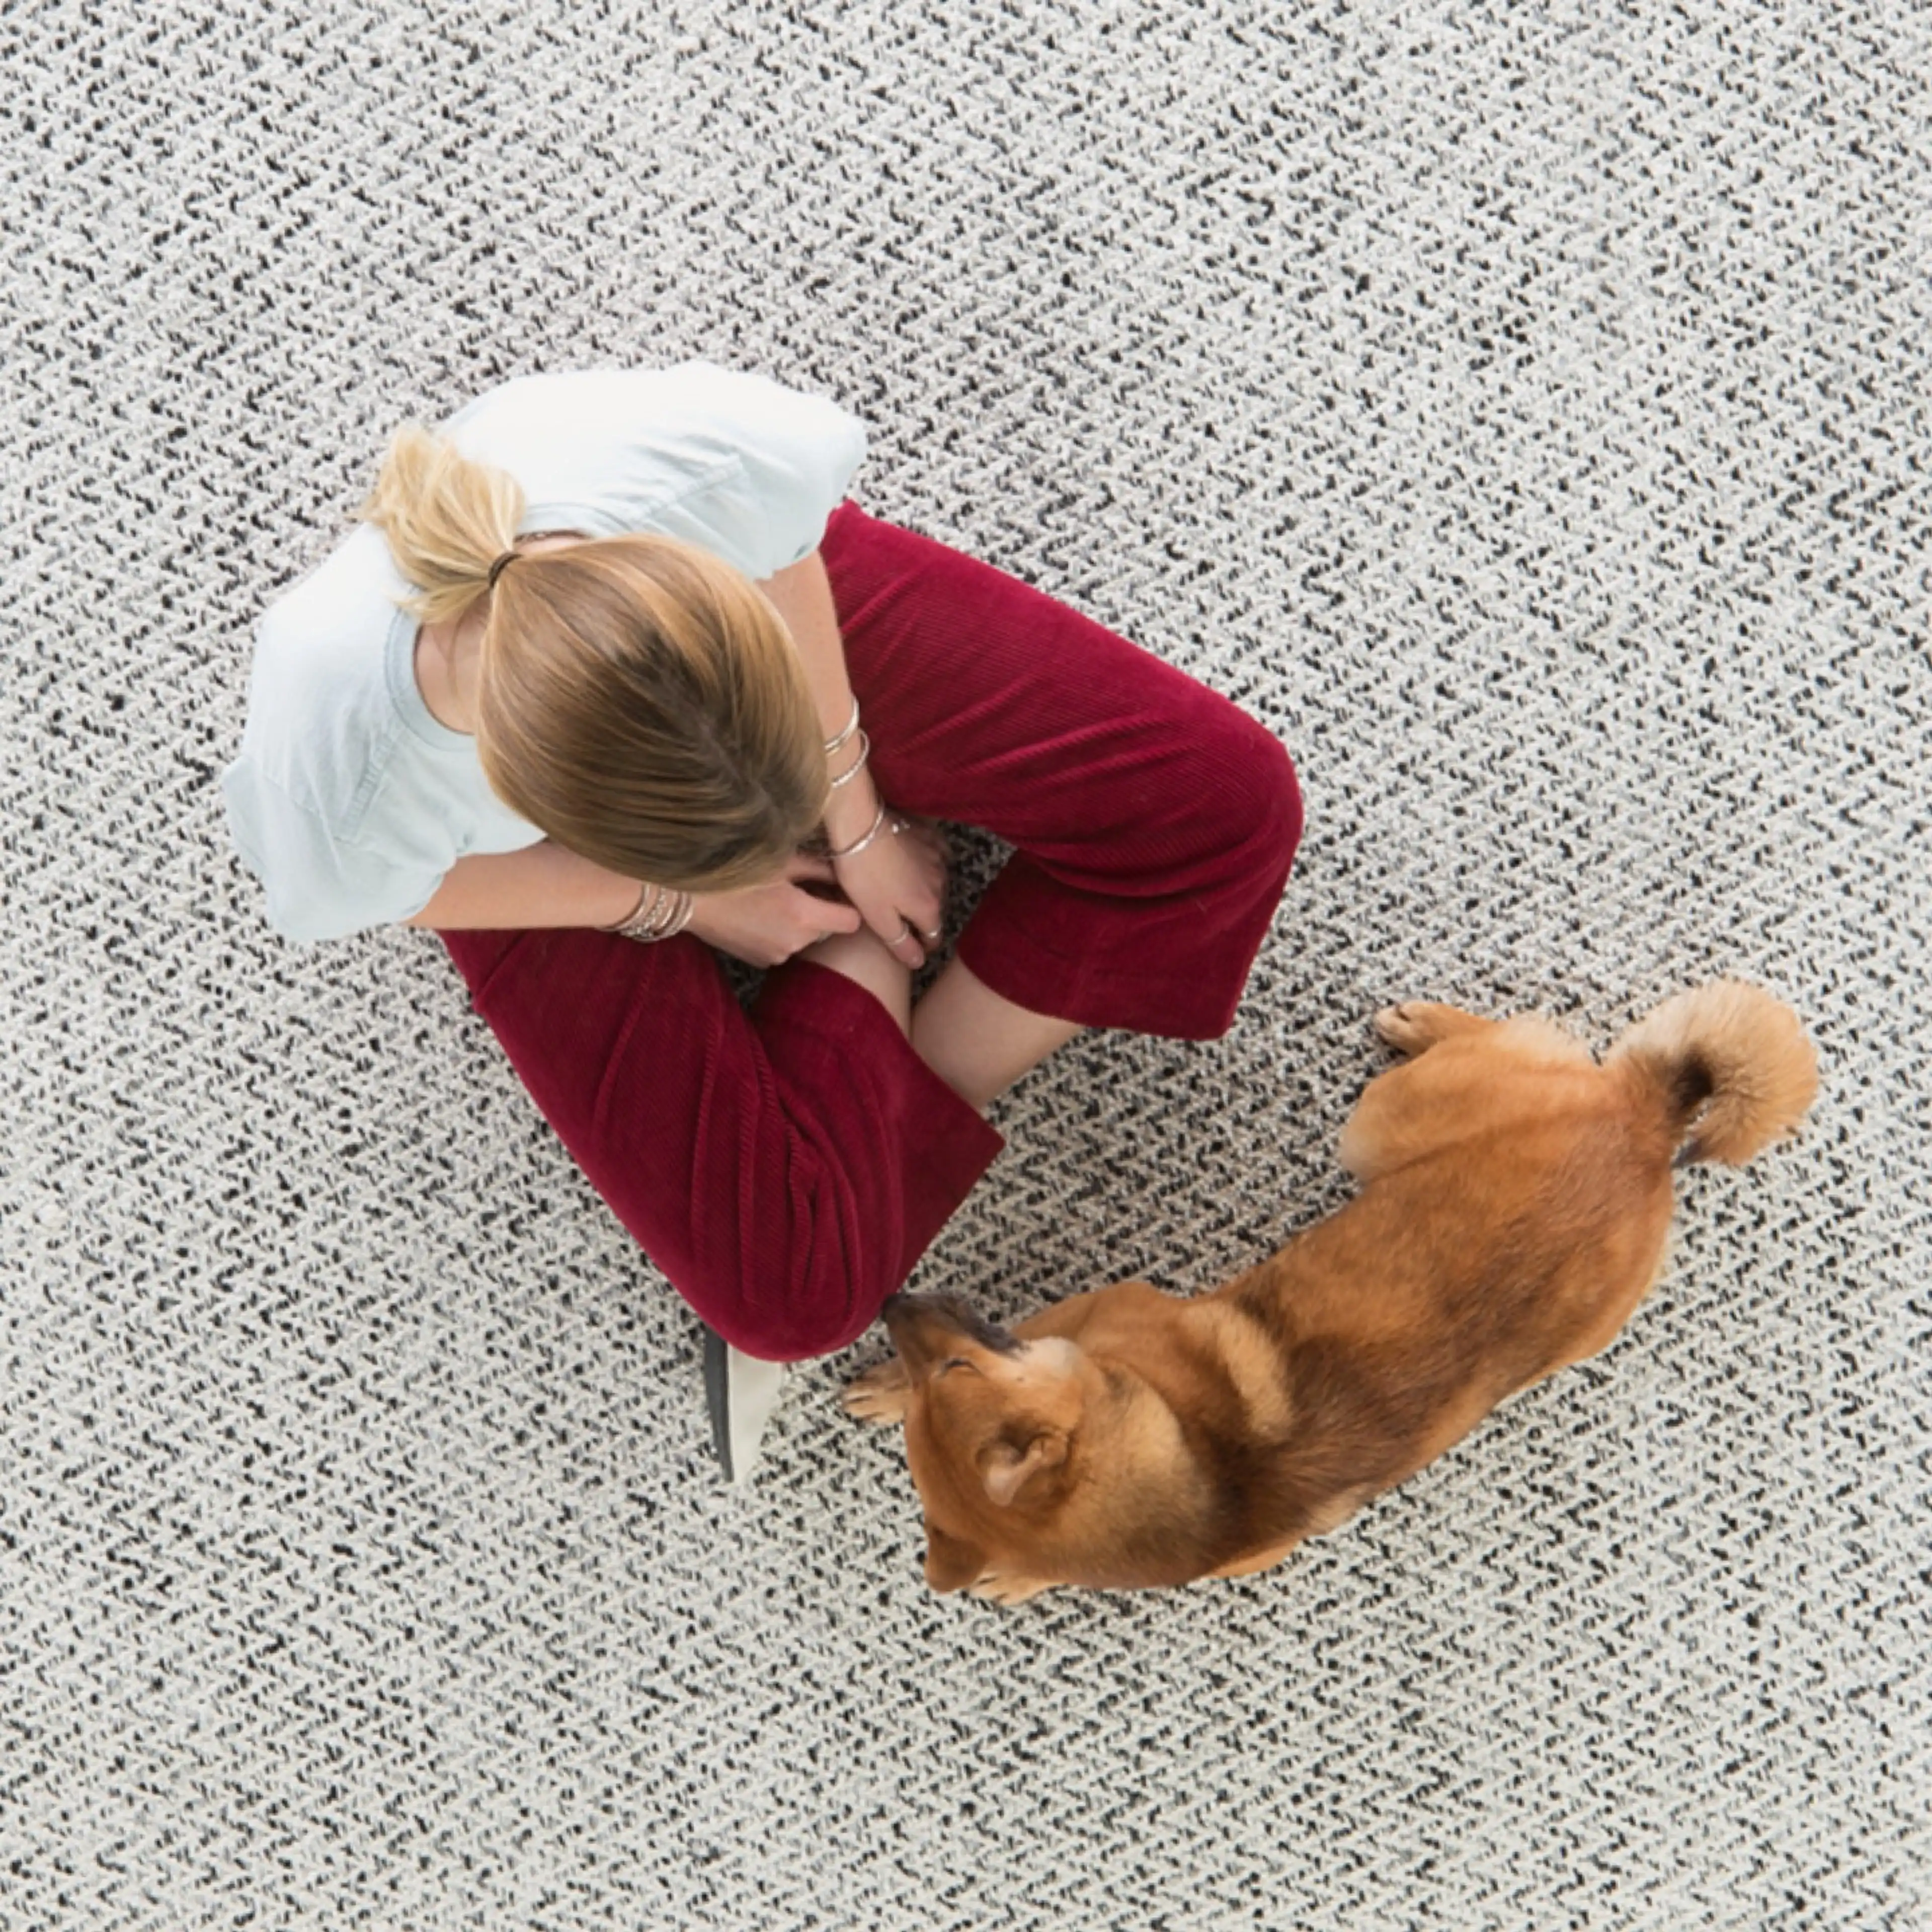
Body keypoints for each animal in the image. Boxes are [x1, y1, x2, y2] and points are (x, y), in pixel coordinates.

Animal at [846, 981, 1808, 1599]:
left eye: (955, 1376)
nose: (890, 1305)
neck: (1197, 1468)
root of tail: (1647, 1129)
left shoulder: (1103, 1309)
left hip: (1378, 1124)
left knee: (1502, 1038)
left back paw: (1423, 1023)